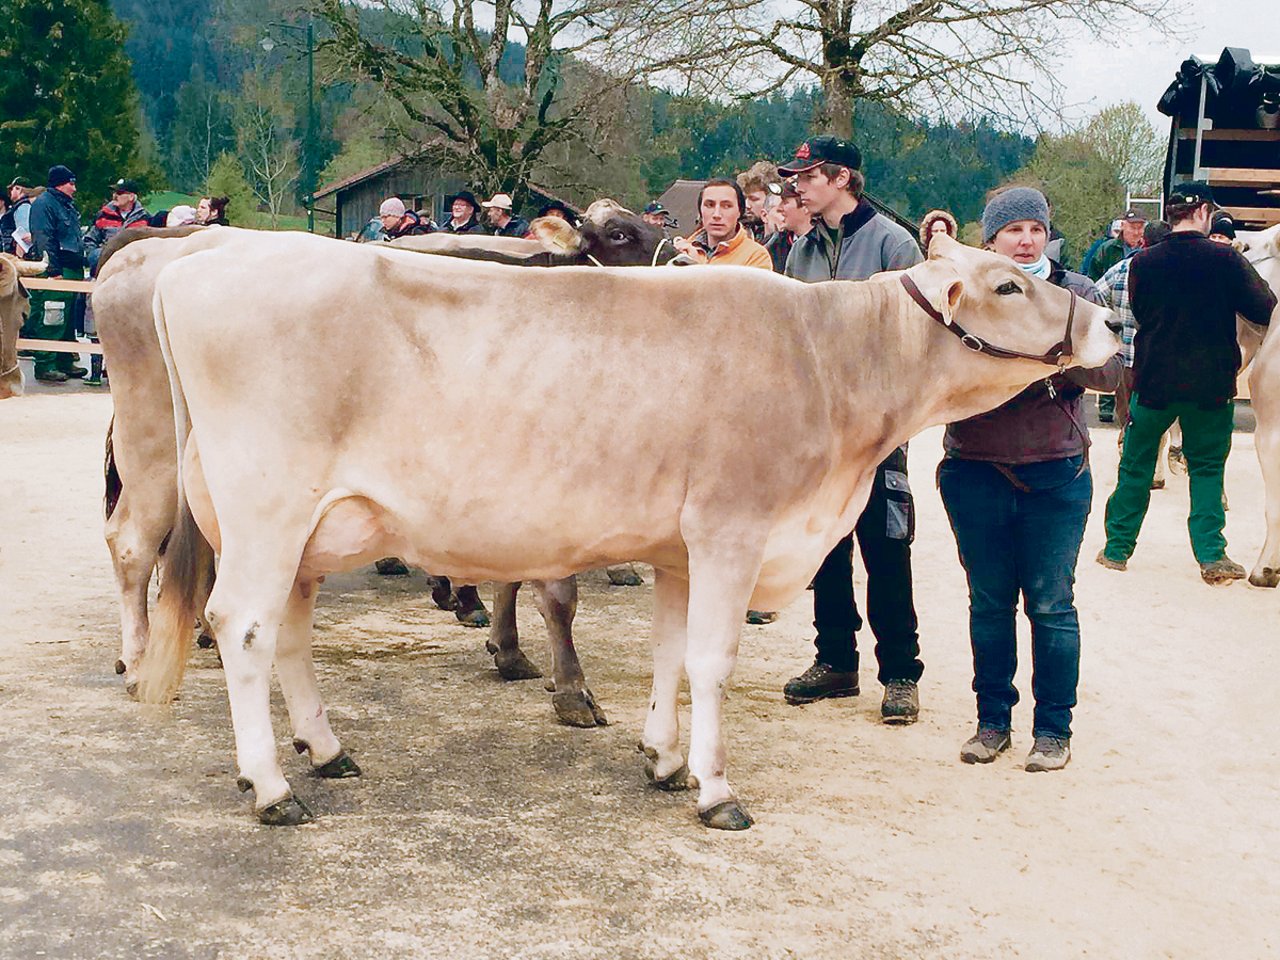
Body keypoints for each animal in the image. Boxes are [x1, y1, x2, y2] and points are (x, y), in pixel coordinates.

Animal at [137, 231, 1121, 829]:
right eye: (1008, 282)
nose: (1112, 322)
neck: (829, 360)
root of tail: (203, 255)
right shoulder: (732, 526)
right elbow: (712, 661)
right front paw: (716, 789)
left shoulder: (680, 547)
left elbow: (669, 654)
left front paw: (663, 758)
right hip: (268, 507)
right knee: (245, 628)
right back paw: (271, 788)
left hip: (306, 527)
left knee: (290, 633)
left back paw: (327, 751)